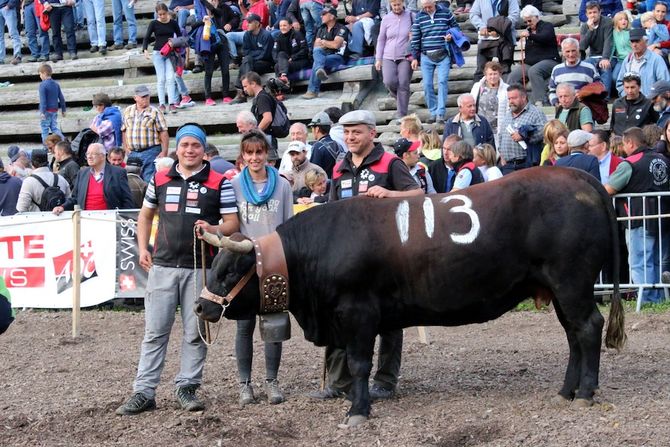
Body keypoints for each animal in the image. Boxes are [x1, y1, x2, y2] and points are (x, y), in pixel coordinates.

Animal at [197, 168, 628, 428]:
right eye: (213, 264)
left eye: (231, 271)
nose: (202, 305)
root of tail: (577, 176)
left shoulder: (357, 312)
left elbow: (359, 364)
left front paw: (358, 410)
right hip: (560, 290)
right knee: (574, 335)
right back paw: (565, 391)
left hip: (572, 282)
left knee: (588, 328)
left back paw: (585, 393)